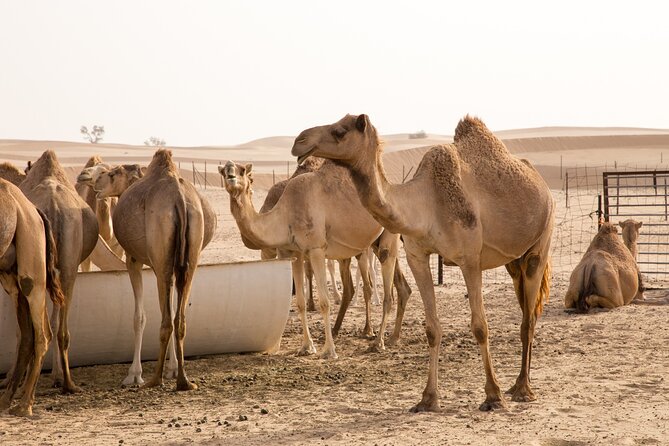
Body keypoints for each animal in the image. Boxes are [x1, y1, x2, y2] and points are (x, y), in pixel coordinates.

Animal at [0, 178, 65, 416]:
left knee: (43, 333)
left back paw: (24, 404)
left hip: (32, 265)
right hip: (10, 274)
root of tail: (34, 210)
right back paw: (7, 400)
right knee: (28, 335)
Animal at [94, 150, 216, 389]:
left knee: (167, 320)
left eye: (112, 174)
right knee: (178, 319)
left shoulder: (134, 260)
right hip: (188, 261)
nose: (95, 182)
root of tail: (179, 200)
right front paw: (172, 368)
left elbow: (139, 317)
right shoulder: (171, 266)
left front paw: (134, 374)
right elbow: (169, 308)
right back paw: (183, 380)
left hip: (162, 260)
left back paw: (154, 379)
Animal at [219, 159, 411, 358]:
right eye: (223, 171)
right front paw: (306, 347)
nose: (231, 176)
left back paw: (378, 343)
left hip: (388, 235)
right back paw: (391, 338)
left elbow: (324, 303)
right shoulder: (292, 253)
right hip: (373, 242)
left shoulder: (316, 249)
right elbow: (300, 302)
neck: (285, 214)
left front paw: (329, 351)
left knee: (387, 288)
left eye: (242, 171)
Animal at [292, 114, 554, 412]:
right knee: (526, 308)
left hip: (541, 243)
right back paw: (517, 385)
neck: (426, 204)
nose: (299, 141)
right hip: (514, 262)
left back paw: (522, 389)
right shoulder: (417, 256)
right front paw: (428, 398)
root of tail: (543, 185)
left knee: (529, 318)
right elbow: (432, 328)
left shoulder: (469, 259)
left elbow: (480, 327)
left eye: (340, 131)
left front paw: (493, 396)